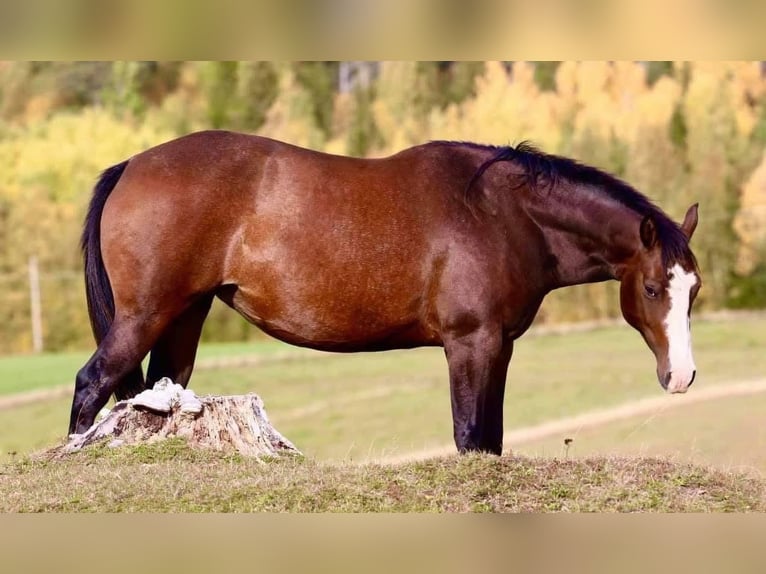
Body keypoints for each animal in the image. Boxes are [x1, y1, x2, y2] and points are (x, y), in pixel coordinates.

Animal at [69, 131, 701, 455]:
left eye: (693, 289)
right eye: (652, 287)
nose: (682, 377)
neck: (502, 213)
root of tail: (132, 164)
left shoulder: (497, 347)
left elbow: (491, 439)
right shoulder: (471, 343)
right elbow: (470, 436)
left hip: (184, 316)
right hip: (145, 315)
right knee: (90, 385)